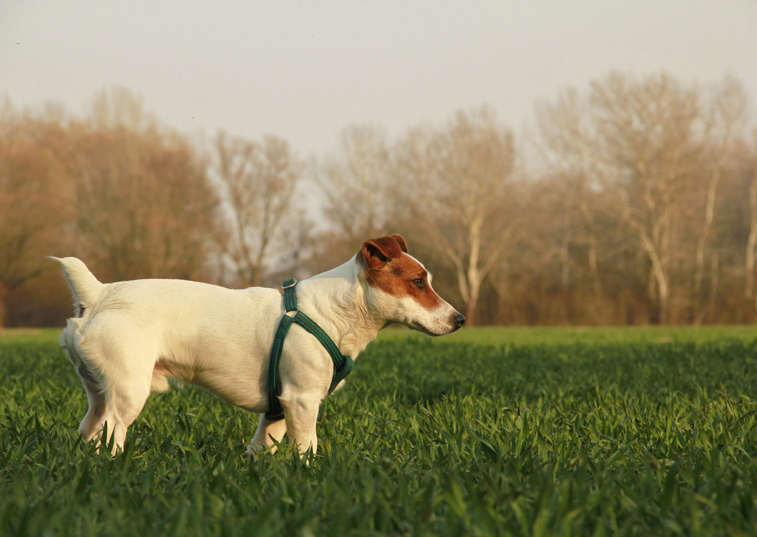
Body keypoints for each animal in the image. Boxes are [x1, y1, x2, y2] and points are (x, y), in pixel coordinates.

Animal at [53, 234, 464, 456]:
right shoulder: (302, 400)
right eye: (418, 282)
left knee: (88, 430)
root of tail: (100, 294)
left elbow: (260, 448)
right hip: (128, 393)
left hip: (98, 392)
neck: (334, 312)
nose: (459, 319)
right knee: (112, 435)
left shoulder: (277, 410)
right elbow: (307, 448)